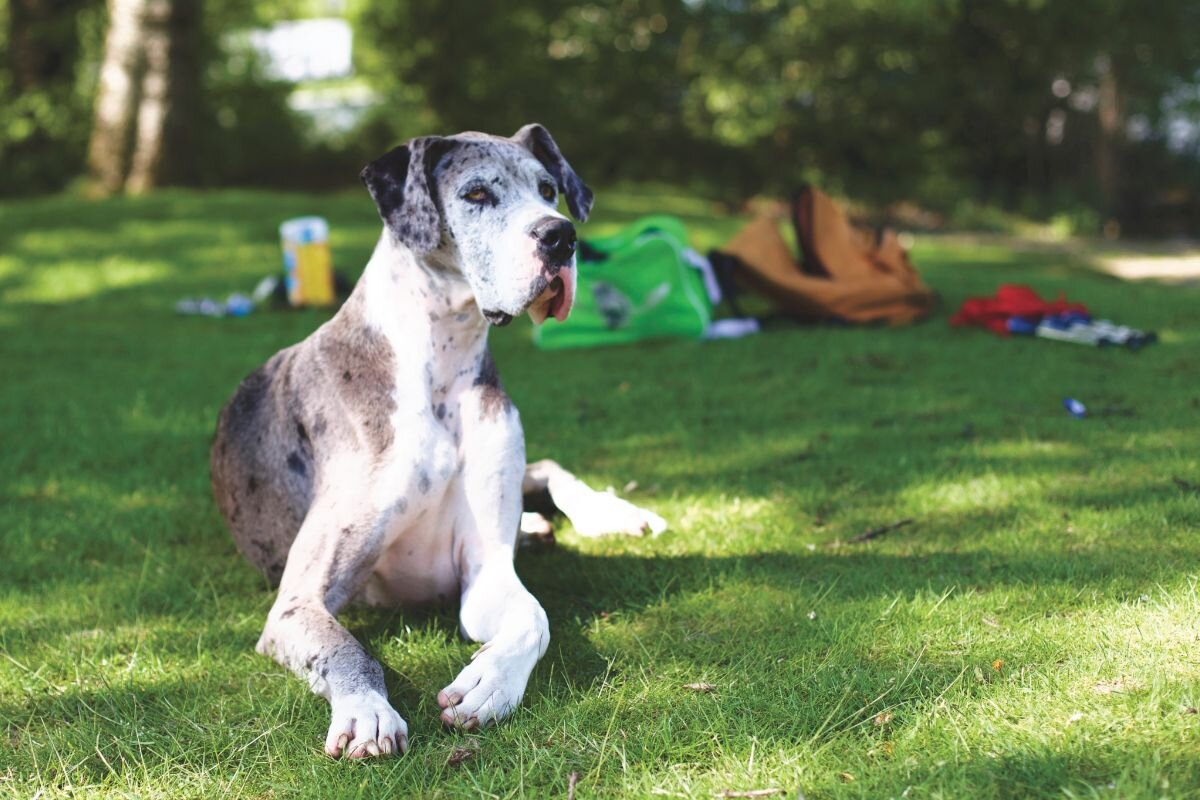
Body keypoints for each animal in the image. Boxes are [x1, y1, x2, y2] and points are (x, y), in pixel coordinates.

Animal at [212, 123, 672, 758]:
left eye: (548, 190)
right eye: (476, 193)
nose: (561, 236)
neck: (442, 364)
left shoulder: (486, 572)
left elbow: (534, 618)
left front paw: (490, 683)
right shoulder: (298, 601)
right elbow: (345, 649)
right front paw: (366, 710)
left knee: (547, 467)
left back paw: (608, 514)